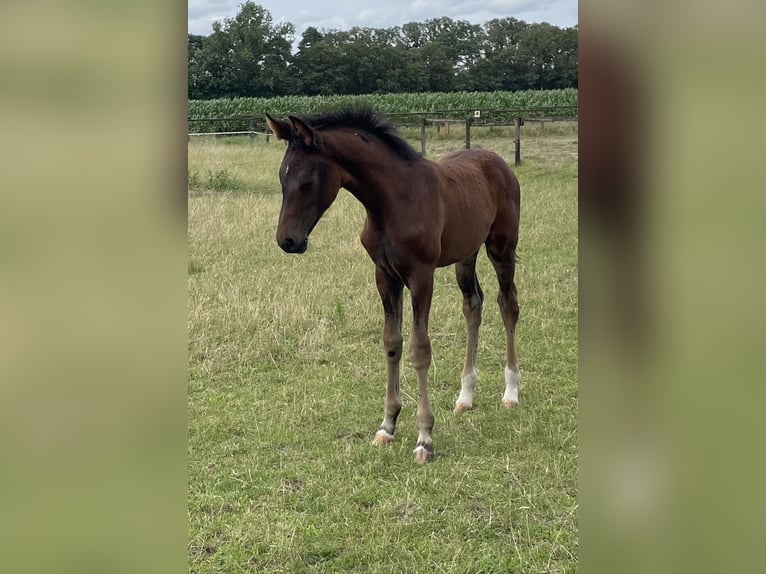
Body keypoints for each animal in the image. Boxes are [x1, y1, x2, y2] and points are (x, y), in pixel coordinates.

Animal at [266, 111, 520, 464]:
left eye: (306, 183)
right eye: (281, 178)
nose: (287, 241)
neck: (392, 201)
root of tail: (498, 160)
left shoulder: (421, 276)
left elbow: (419, 349)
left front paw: (425, 438)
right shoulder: (385, 276)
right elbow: (392, 343)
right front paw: (387, 426)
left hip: (502, 247)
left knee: (507, 304)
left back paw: (511, 392)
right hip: (466, 255)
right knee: (473, 305)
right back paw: (465, 396)